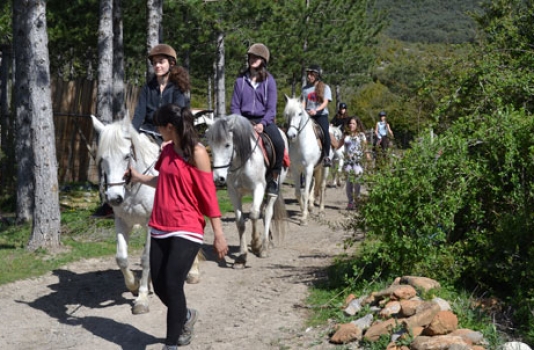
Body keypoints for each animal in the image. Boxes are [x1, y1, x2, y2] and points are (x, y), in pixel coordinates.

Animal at [91, 115, 202, 314]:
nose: (114, 198)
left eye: (127, 156)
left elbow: (146, 259)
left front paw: (142, 298)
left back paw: (193, 272)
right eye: (103, 158)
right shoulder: (122, 221)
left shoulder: (152, 225)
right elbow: (121, 258)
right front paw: (134, 285)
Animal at [207, 114, 288, 268]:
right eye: (211, 145)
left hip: (272, 188)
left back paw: (265, 246)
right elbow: (240, 222)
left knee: (267, 212)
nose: (218, 179)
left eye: (227, 145)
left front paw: (256, 245)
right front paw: (242, 256)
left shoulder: (259, 187)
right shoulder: (233, 192)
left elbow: (254, 215)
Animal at [284, 95, 336, 227]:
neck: (301, 143)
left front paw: (303, 218)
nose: (291, 135)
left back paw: (321, 211)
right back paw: (311, 206)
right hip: (315, 169)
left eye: (299, 113)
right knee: (313, 183)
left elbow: (305, 192)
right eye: (287, 114)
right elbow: (298, 193)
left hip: (324, 167)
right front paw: (304, 209)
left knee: (322, 186)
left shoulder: (308, 169)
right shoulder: (297, 170)